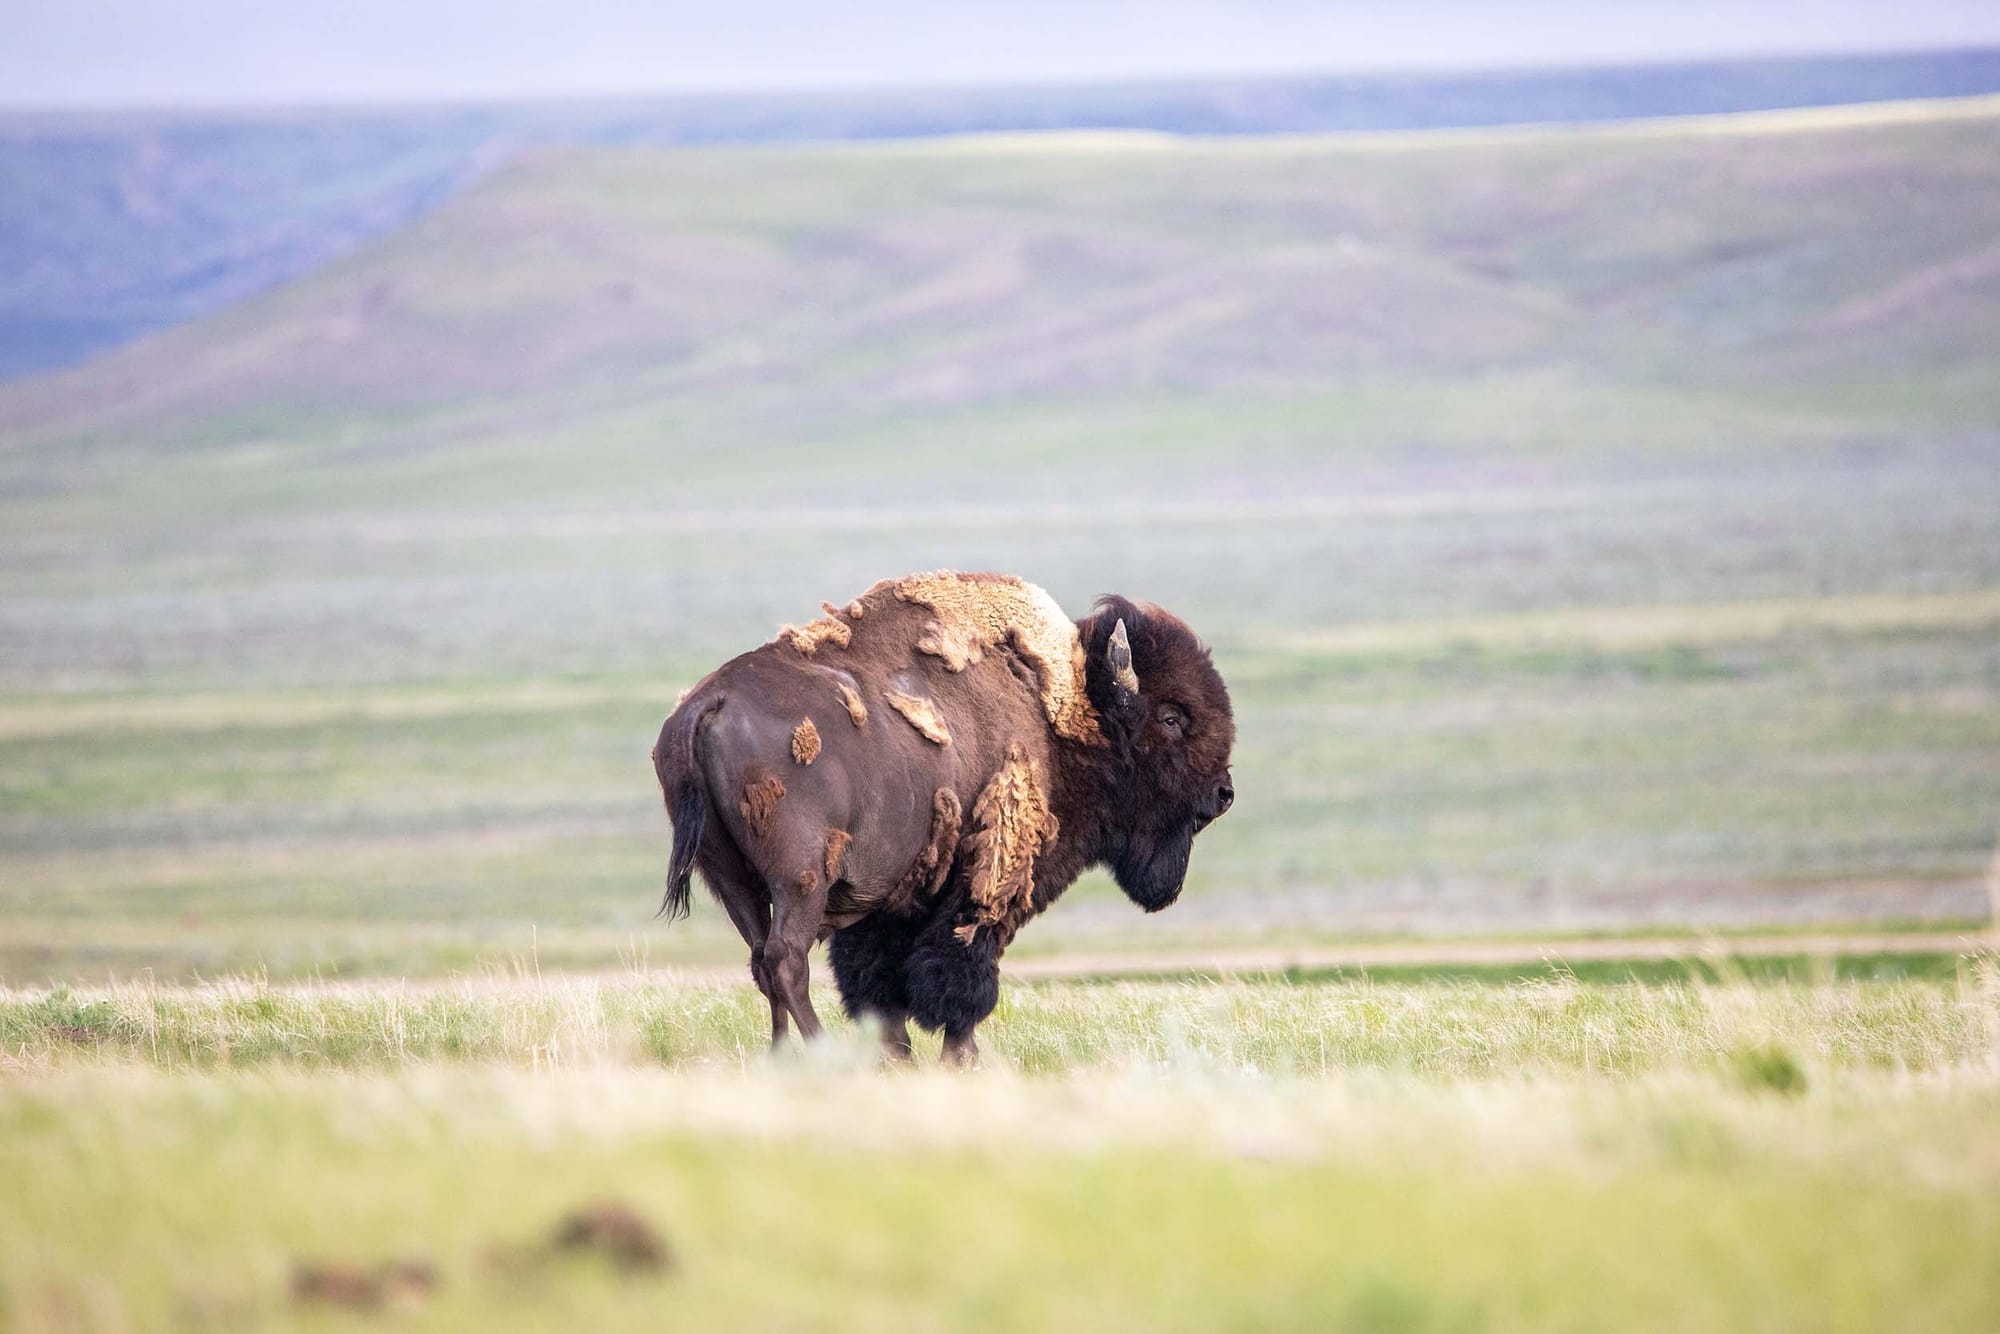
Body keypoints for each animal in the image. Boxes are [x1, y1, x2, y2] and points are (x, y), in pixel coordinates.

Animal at [652, 571, 1234, 1065]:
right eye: (1171, 717)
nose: (1224, 794)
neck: (1063, 712)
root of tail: (708, 703)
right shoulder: (985, 884)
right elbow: (963, 974)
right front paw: (960, 1058)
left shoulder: (889, 904)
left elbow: (881, 985)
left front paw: (900, 1058)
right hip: (801, 879)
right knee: (784, 960)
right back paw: (822, 1056)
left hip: (731, 877)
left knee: (760, 961)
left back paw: (781, 1059)